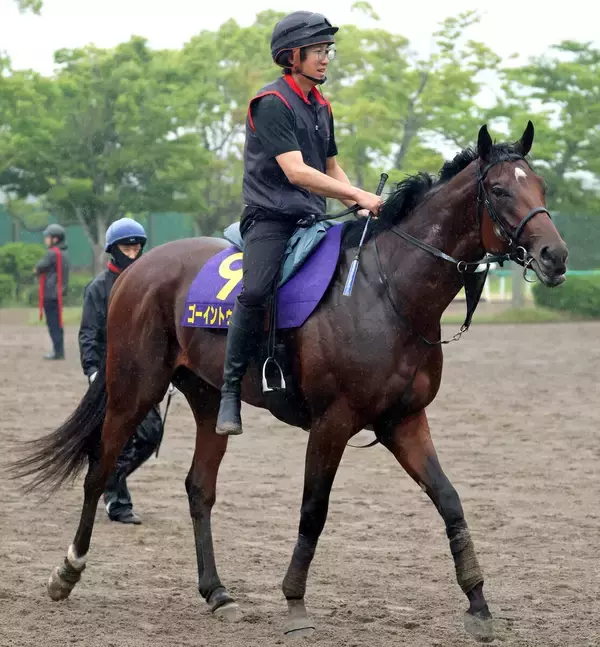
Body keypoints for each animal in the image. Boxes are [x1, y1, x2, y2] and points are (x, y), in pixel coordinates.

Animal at [12, 121, 568, 643]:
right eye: (499, 189)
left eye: (540, 185)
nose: (555, 256)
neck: (387, 291)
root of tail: (133, 271)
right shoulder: (332, 423)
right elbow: (313, 511)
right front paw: (295, 603)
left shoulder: (404, 421)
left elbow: (450, 501)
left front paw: (478, 604)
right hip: (133, 391)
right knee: (99, 471)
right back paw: (67, 571)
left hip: (208, 400)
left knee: (199, 488)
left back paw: (217, 592)